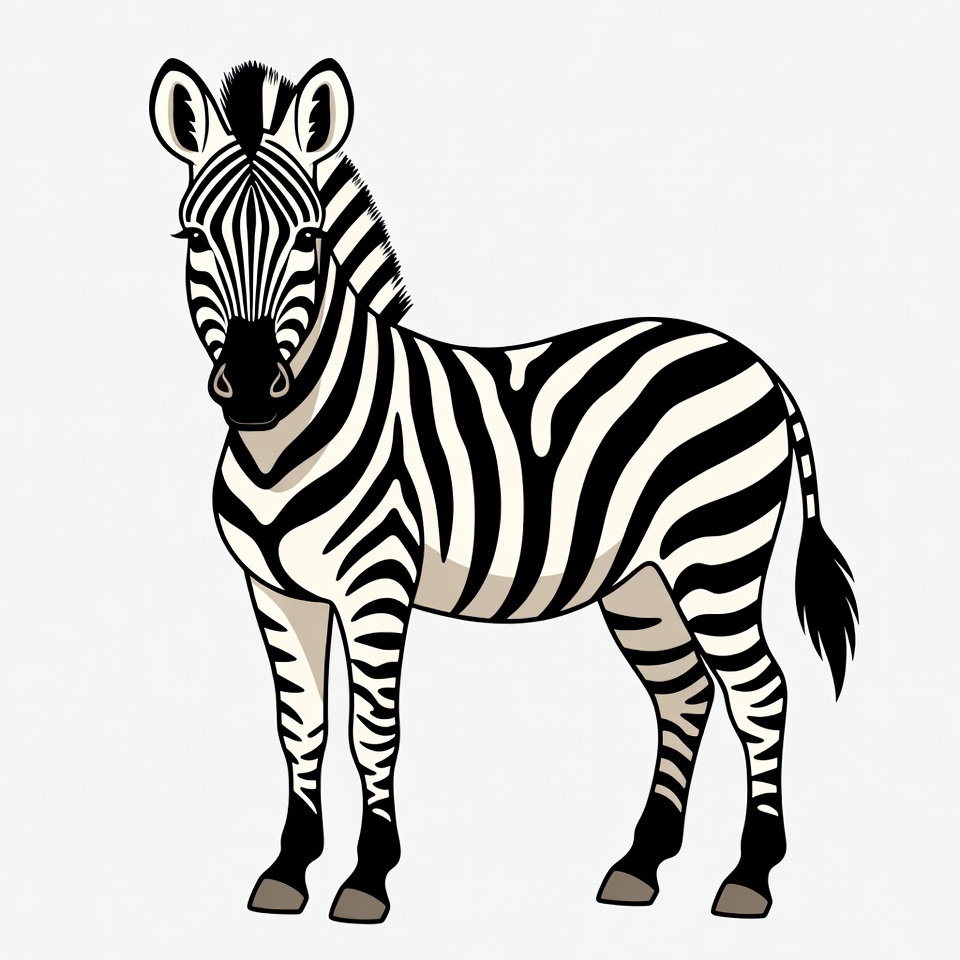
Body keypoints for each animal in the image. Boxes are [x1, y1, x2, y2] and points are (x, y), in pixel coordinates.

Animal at [149, 57, 857, 924]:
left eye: (308, 237)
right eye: (193, 237)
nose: (251, 388)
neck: (283, 447)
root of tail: (755, 361)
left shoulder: (376, 582)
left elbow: (371, 729)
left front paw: (367, 877)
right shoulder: (277, 591)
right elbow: (301, 729)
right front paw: (288, 869)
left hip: (716, 558)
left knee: (761, 695)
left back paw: (750, 876)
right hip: (642, 581)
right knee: (685, 692)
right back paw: (641, 863)